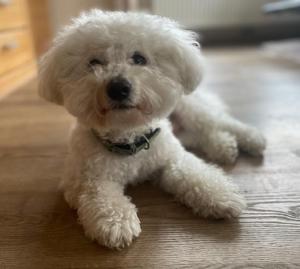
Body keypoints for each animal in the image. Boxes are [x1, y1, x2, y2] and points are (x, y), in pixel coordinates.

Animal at [38, 10, 266, 249]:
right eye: (94, 63)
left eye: (139, 59)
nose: (118, 87)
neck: (129, 142)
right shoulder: (84, 178)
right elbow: (100, 195)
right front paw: (115, 221)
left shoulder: (172, 158)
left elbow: (195, 175)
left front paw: (219, 194)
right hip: (185, 131)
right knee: (204, 134)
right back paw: (222, 146)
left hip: (189, 110)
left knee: (219, 122)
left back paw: (249, 138)